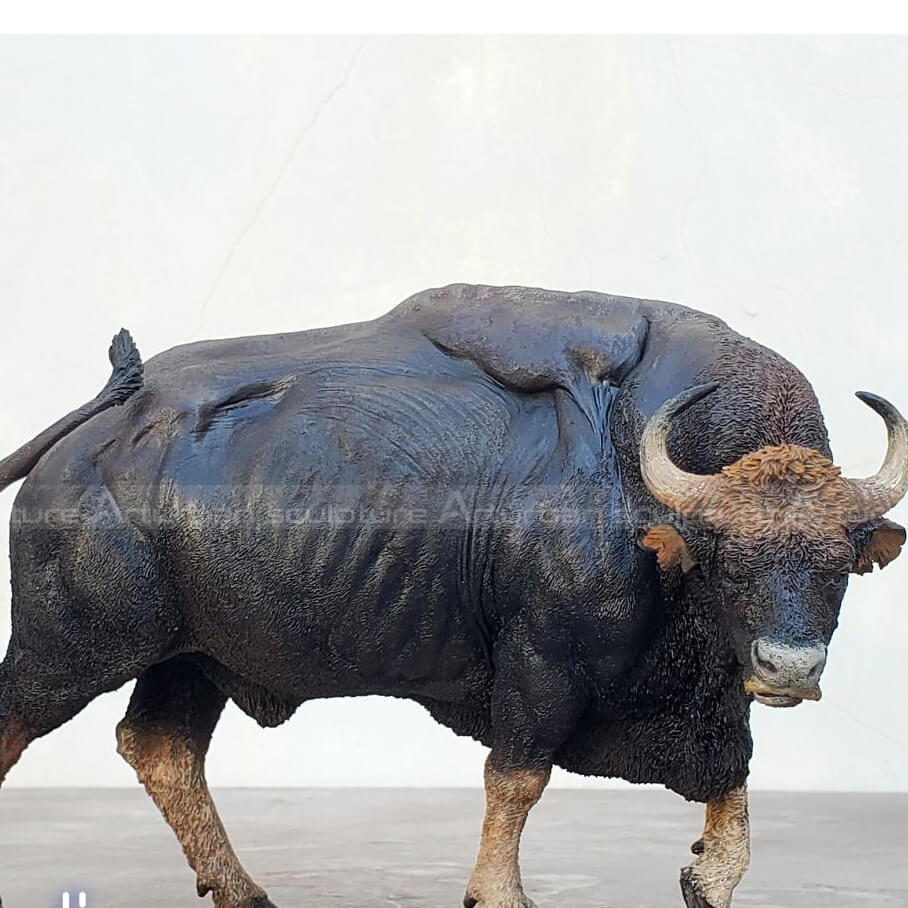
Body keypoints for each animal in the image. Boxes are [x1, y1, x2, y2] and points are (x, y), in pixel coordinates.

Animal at [0, 284, 904, 908]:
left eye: (837, 563)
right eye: (726, 559)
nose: (788, 668)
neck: (646, 499)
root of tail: (87, 435)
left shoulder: (706, 699)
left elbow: (731, 779)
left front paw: (706, 877)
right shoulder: (542, 668)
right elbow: (516, 780)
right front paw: (500, 894)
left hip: (191, 658)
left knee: (161, 746)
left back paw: (246, 891)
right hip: (65, 653)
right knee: (26, 725)